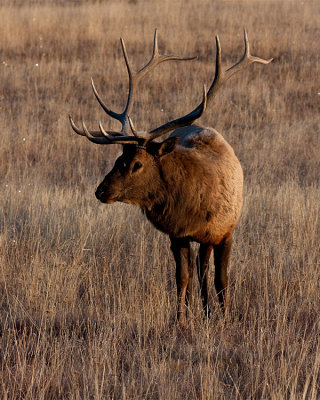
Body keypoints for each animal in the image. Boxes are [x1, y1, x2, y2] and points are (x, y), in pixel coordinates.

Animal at [69, 29, 272, 326]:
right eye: (118, 159)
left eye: (137, 164)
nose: (101, 191)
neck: (195, 206)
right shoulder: (177, 234)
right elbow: (182, 277)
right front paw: (181, 320)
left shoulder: (226, 231)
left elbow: (222, 280)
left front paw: (224, 319)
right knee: (196, 270)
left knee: (205, 269)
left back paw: (209, 311)